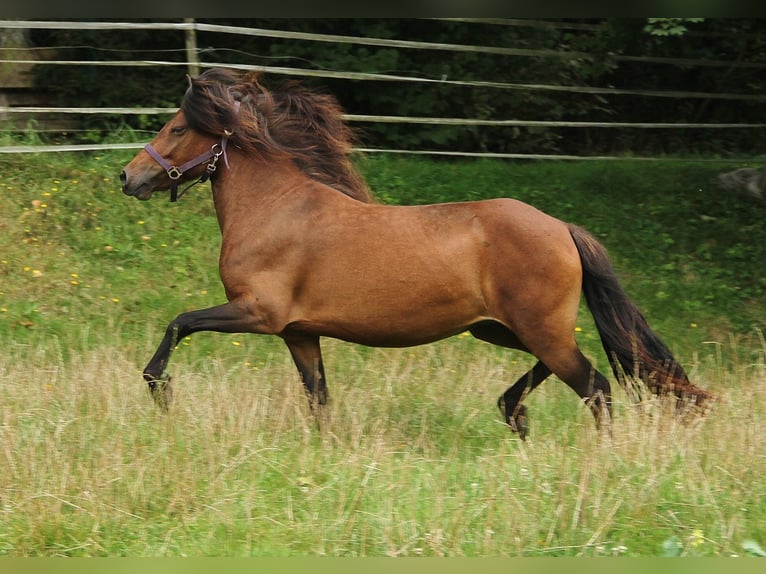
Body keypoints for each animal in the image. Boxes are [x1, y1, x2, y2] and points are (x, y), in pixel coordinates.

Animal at [120, 67, 712, 438]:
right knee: (566, 370)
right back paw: (512, 413)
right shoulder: (299, 334)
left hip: (535, 328)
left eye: (177, 126)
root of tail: (562, 229)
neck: (276, 208)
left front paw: (161, 390)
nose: (128, 176)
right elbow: (319, 399)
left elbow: (179, 323)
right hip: (501, 328)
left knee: (596, 386)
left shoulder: (257, 314)